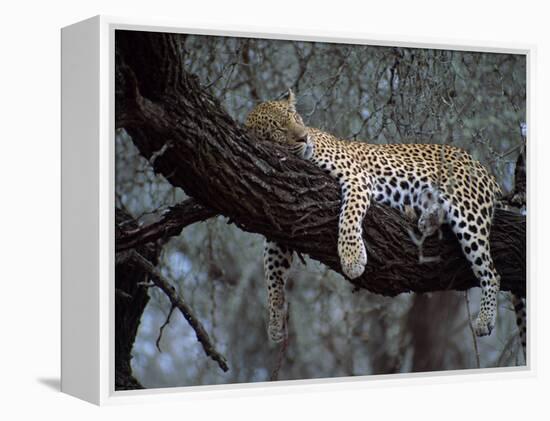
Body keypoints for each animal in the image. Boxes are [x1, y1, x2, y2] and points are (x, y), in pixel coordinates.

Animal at [245, 89, 528, 358]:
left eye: (296, 118)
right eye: (279, 128)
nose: (304, 137)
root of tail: (486, 171)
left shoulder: (356, 177)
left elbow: (348, 217)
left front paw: (352, 258)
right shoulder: (278, 221)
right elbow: (272, 272)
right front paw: (274, 322)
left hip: (467, 210)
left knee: (492, 271)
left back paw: (485, 320)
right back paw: (426, 218)